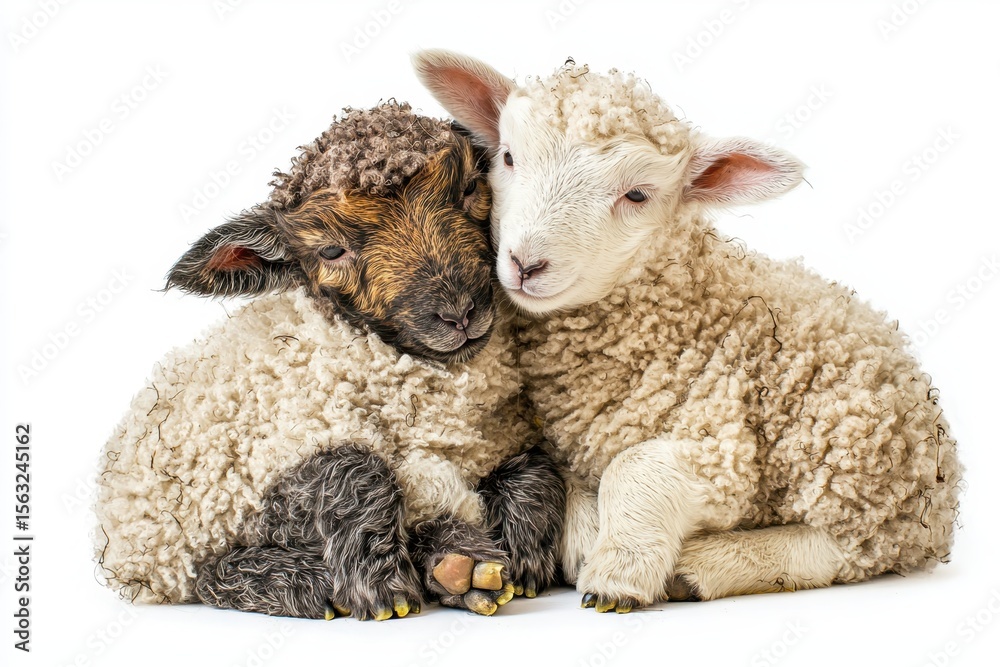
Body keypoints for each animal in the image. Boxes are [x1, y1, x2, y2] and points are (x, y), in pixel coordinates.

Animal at [94, 102, 565, 620]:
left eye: (466, 189)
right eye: (331, 250)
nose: (459, 313)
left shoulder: (499, 432)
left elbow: (534, 463)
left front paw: (525, 544)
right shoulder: (283, 444)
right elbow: (353, 469)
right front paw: (383, 586)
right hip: (183, 533)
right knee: (209, 577)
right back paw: (334, 579)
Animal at [415, 51, 963, 611]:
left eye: (637, 194)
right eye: (507, 157)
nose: (526, 264)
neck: (683, 313)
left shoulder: (724, 443)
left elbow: (635, 468)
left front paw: (618, 572)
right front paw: (585, 541)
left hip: (854, 463)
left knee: (845, 547)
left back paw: (701, 565)